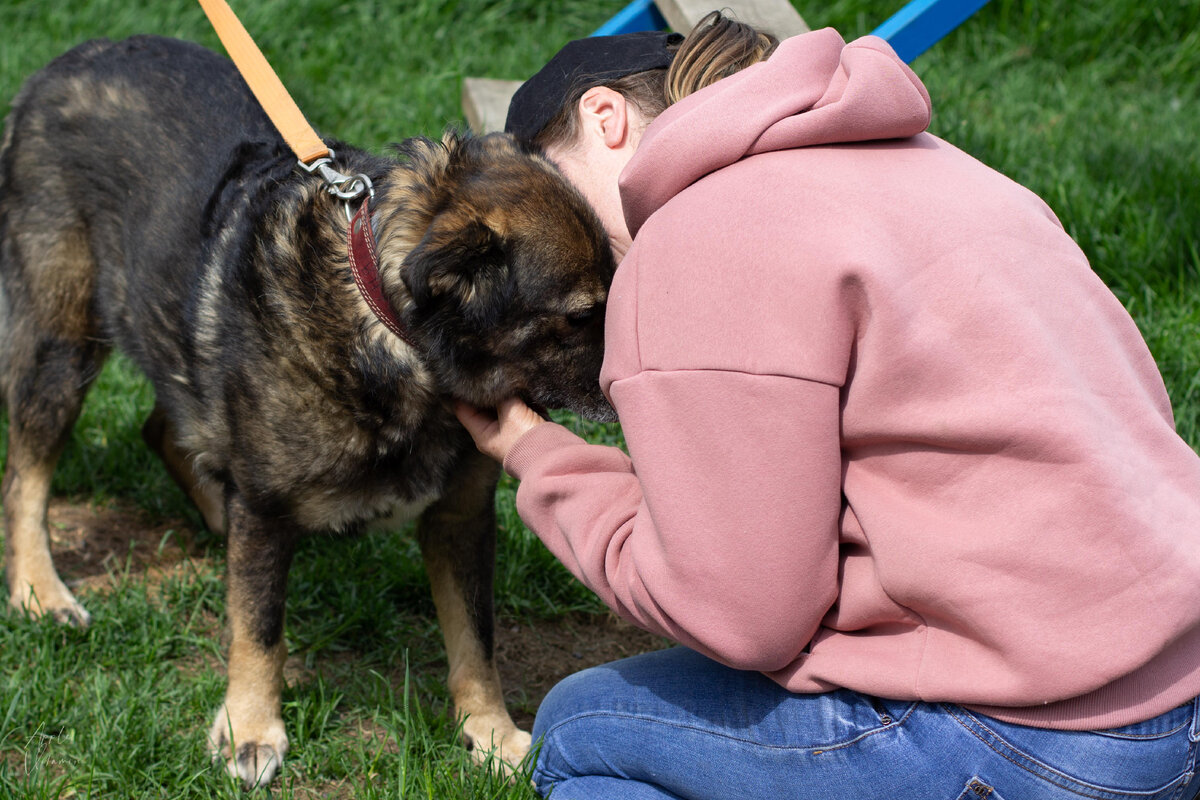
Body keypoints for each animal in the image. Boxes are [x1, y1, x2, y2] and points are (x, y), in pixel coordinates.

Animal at [0, 35, 614, 786]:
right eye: (580, 314)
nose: (627, 377)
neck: (386, 326)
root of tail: (66, 60)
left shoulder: (461, 516)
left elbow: (477, 638)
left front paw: (492, 734)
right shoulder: (267, 511)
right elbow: (260, 629)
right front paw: (249, 729)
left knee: (167, 427)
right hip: (61, 344)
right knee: (25, 477)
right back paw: (39, 590)